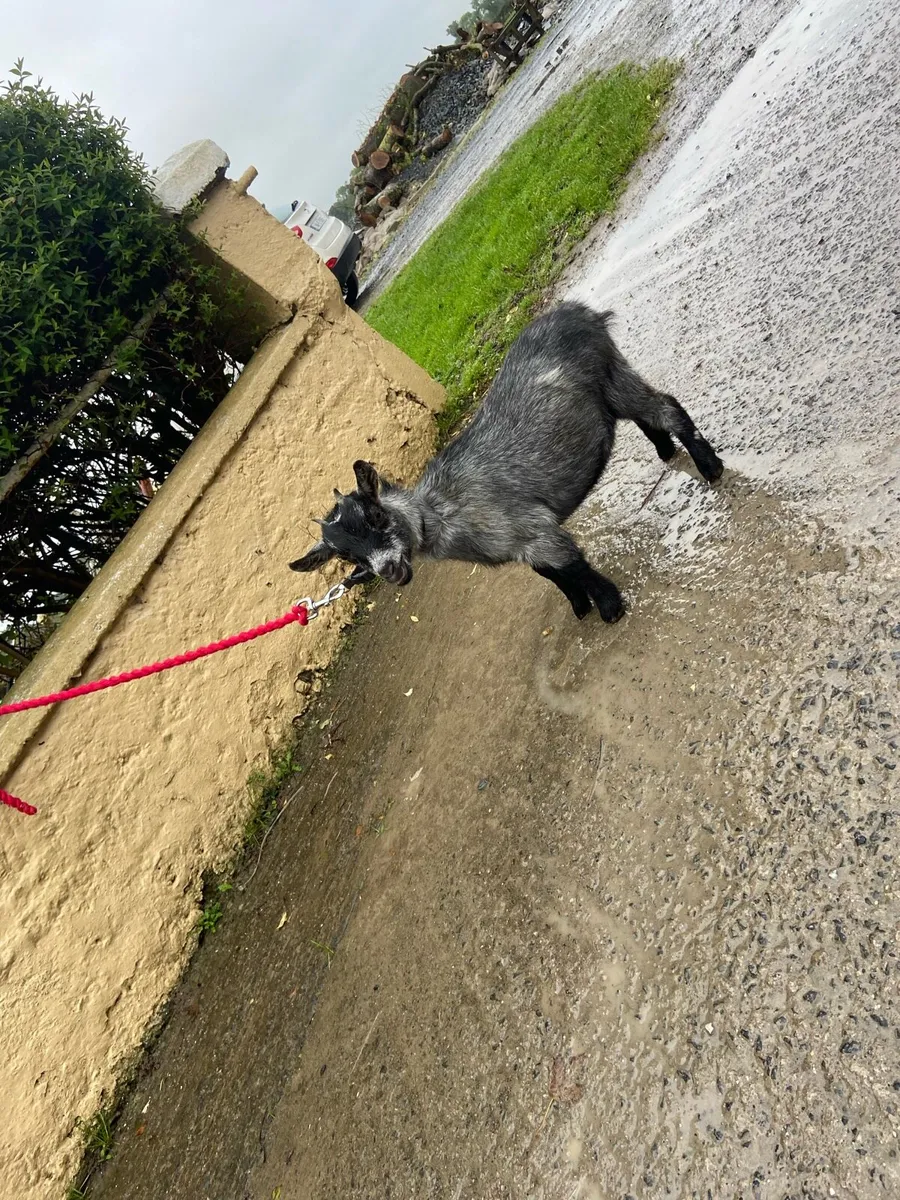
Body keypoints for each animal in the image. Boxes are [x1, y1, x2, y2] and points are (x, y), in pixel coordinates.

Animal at [289, 302, 723, 621]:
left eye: (376, 516)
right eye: (346, 555)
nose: (391, 571)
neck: (440, 513)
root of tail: (580, 311)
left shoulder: (536, 530)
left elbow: (573, 564)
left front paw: (609, 607)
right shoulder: (520, 545)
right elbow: (550, 574)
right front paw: (580, 606)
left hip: (612, 375)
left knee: (665, 407)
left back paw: (710, 466)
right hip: (610, 386)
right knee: (644, 414)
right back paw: (666, 451)